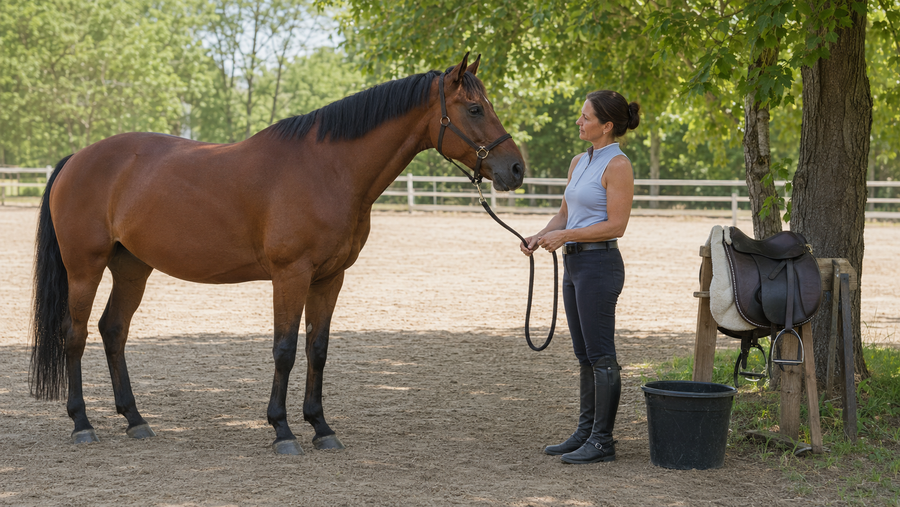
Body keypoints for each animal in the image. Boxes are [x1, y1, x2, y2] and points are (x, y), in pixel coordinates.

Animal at [30, 53, 525, 455]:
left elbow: (317, 349)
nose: (517, 169)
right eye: (476, 108)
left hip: (132, 267)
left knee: (113, 330)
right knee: (75, 335)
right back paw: (82, 423)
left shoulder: (329, 278)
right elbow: (284, 349)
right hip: (85, 267)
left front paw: (321, 428)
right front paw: (282, 431)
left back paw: (135, 419)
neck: (328, 169)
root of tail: (77, 159)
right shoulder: (292, 275)